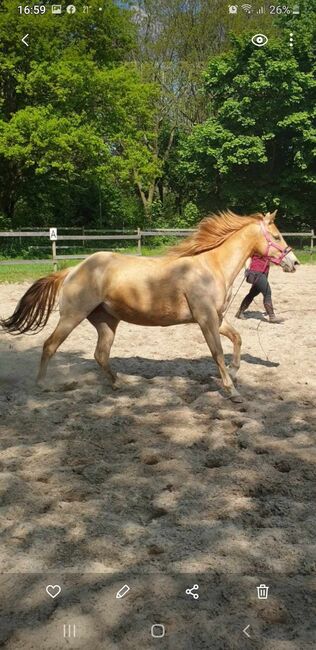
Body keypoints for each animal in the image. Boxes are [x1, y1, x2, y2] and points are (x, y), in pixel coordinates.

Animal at [1, 210, 298, 400]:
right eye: (277, 236)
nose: (293, 262)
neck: (210, 267)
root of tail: (73, 269)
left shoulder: (217, 317)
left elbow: (237, 338)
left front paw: (235, 373)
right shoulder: (205, 320)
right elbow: (217, 353)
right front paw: (232, 390)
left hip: (106, 322)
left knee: (100, 355)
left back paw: (119, 384)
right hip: (72, 316)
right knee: (50, 346)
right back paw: (42, 385)